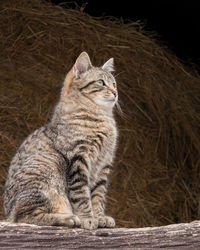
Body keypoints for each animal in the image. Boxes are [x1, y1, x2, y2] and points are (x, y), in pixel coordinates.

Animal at [2, 51, 119, 229]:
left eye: (114, 84)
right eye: (101, 82)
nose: (115, 93)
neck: (101, 116)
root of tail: (6, 214)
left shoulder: (103, 165)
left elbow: (98, 196)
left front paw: (99, 217)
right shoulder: (78, 159)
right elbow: (82, 196)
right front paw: (88, 218)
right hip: (47, 170)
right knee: (23, 217)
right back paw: (68, 218)